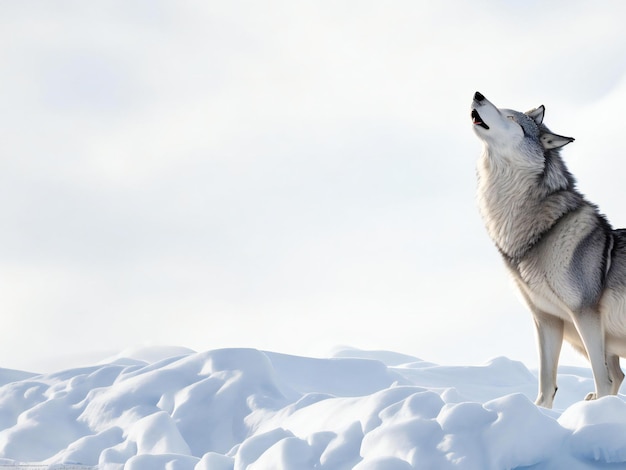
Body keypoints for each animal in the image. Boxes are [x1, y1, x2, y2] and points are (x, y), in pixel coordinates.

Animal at [468, 91, 624, 408]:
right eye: (503, 109)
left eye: (511, 117)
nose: (477, 94)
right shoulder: (546, 319)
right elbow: (546, 382)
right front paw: (541, 412)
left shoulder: (585, 313)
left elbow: (601, 378)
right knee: (618, 373)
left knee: (613, 375)